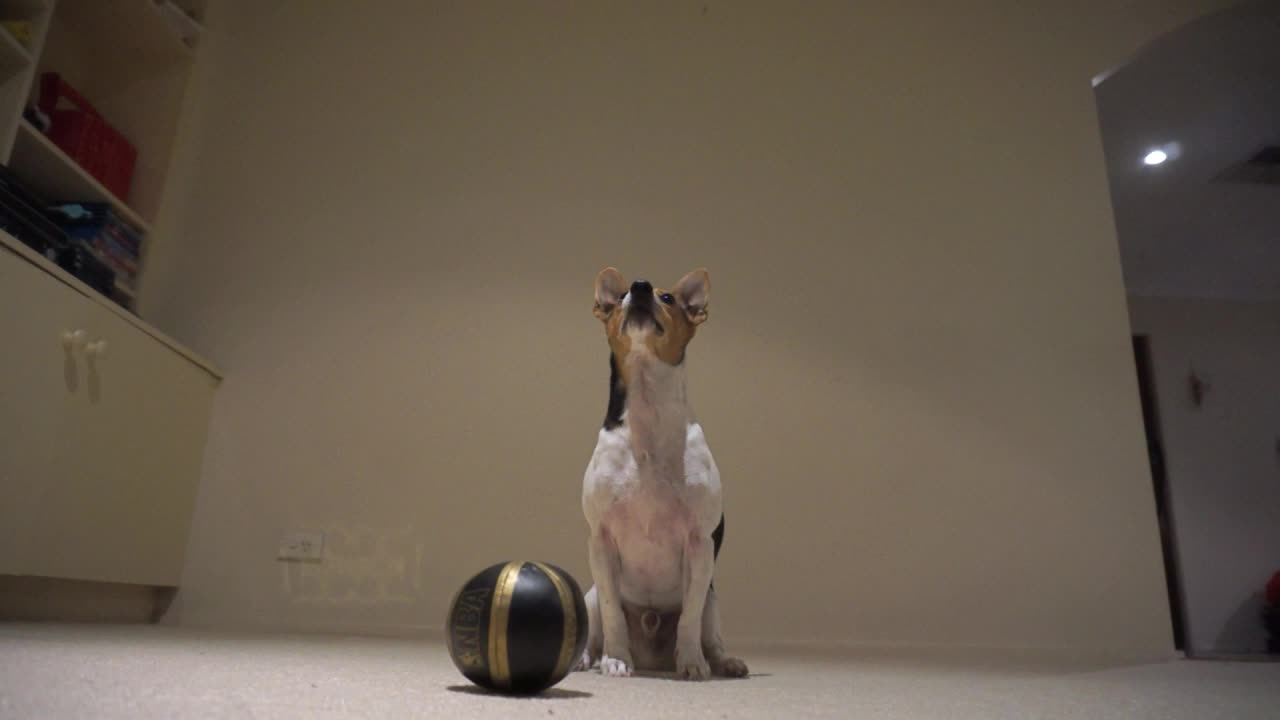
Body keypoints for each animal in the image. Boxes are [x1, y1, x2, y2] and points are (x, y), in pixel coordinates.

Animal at [573, 266, 747, 676]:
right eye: (620, 297)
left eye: (667, 298)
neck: (648, 412)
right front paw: (616, 660)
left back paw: (722, 662)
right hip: (589, 594)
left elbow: (689, 616)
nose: (639, 288)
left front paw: (692, 664)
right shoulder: (601, 541)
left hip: (713, 603)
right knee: (596, 627)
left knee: (709, 633)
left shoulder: (699, 544)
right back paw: (588, 658)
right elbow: (613, 614)